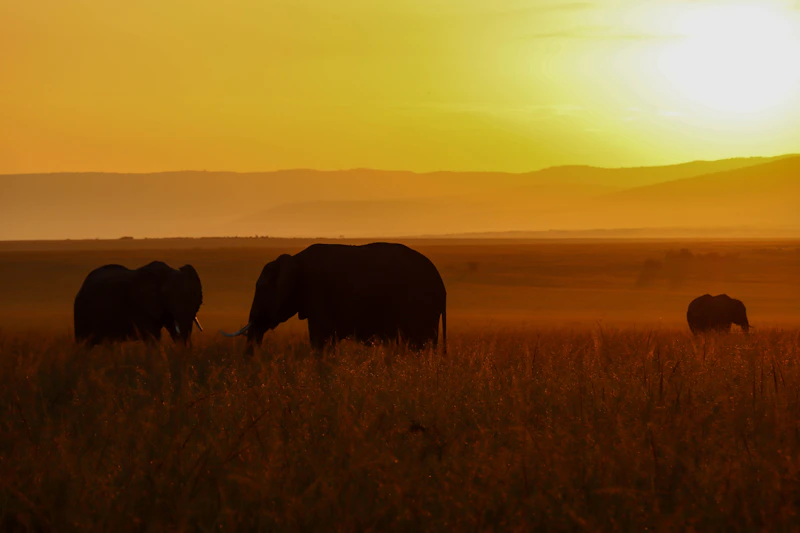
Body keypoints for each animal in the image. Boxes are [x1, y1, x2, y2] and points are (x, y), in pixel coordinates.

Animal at [222, 242, 447, 354]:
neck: (294, 259)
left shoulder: (318, 292)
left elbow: (319, 338)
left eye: (261, 289)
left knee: (417, 342)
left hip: (419, 304)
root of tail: (442, 286)